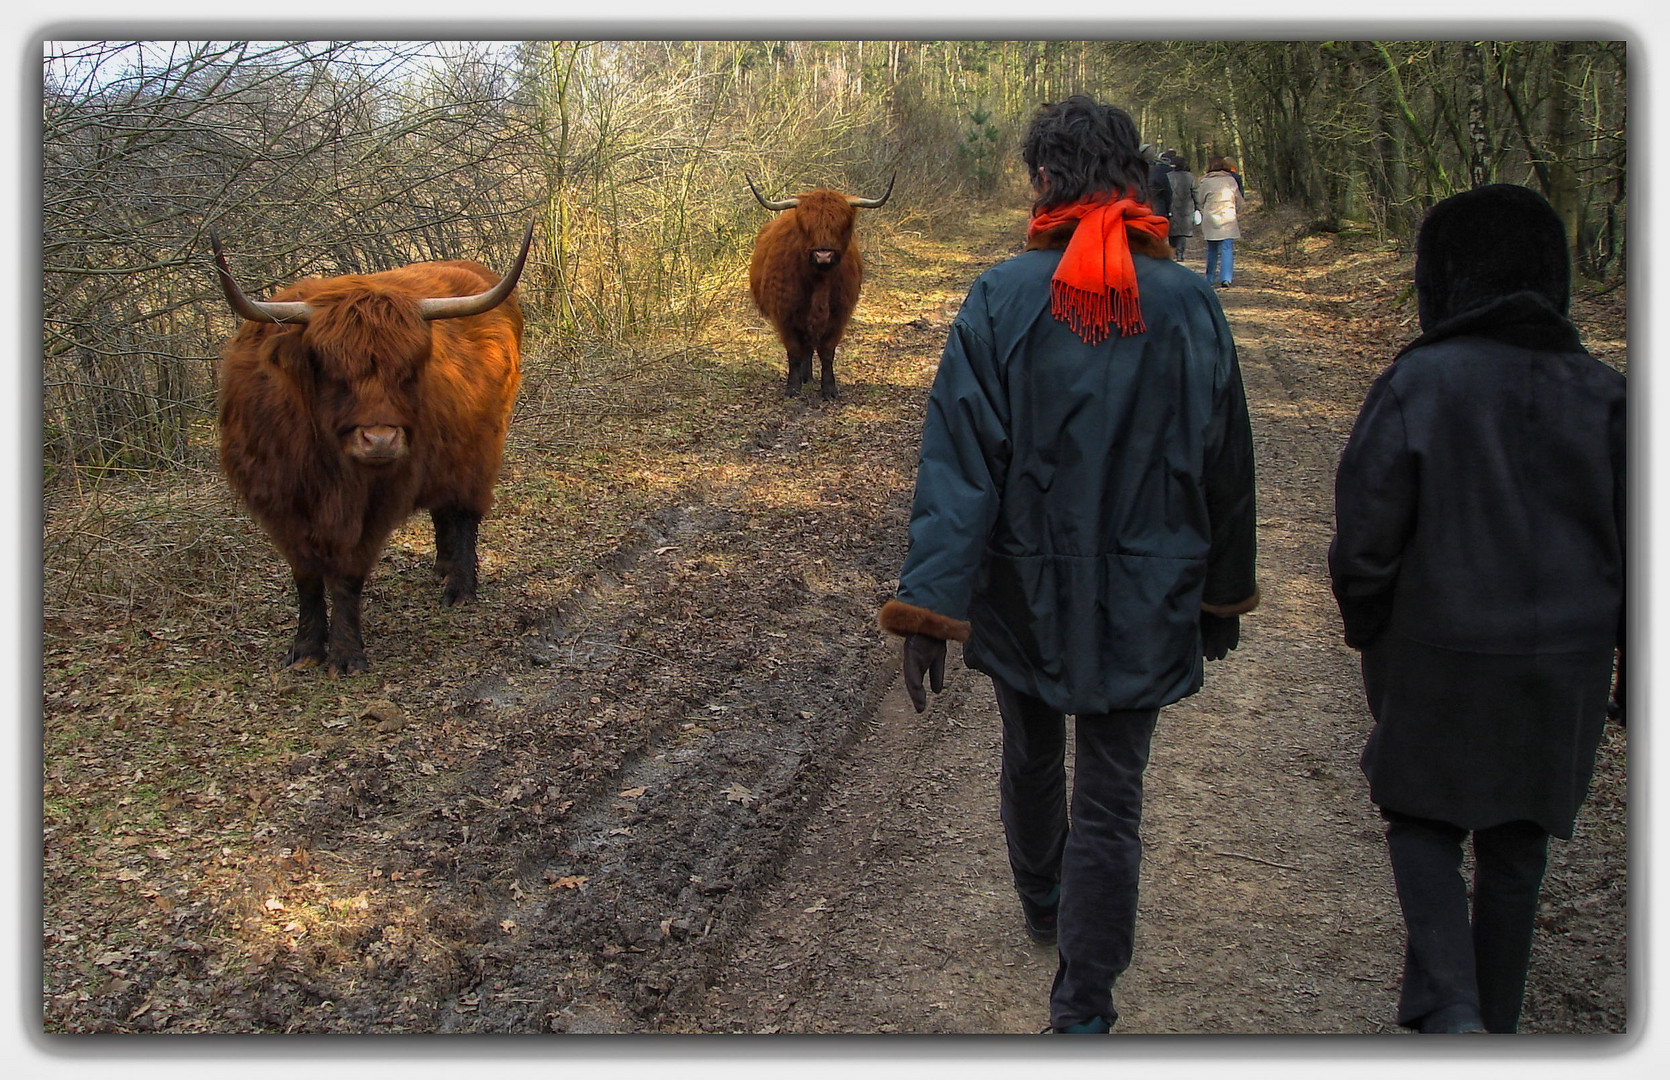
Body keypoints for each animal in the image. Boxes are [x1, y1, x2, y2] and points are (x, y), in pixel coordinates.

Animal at [212, 223, 531, 671]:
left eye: (408, 371)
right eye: (332, 371)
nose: (380, 440)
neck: (326, 467)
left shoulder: (373, 506)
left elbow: (347, 576)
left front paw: (346, 654)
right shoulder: (281, 504)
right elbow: (306, 578)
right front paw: (306, 648)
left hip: (479, 448)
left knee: (465, 510)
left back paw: (459, 587)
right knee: (443, 507)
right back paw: (442, 566)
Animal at [751, 175, 895, 398]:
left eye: (842, 224)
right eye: (805, 225)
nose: (823, 255)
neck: (819, 283)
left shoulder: (838, 316)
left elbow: (827, 352)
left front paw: (829, 388)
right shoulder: (785, 316)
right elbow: (794, 352)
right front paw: (792, 387)